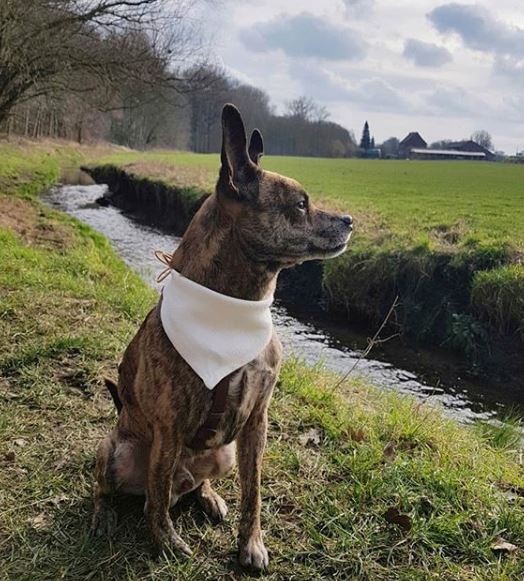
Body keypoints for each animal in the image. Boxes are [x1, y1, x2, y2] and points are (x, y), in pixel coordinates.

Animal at [91, 104, 353, 570]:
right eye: (300, 204)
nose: (350, 220)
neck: (234, 309)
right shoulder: (169, 428)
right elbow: (156, 497)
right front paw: (166, 543)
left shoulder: (256, 422)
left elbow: (254, 491)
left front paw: (251, 543)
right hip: (114, 450)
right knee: (124, 490)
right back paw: (105, 514)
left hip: (224, 453)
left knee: (192, 485)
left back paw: (209, 496)